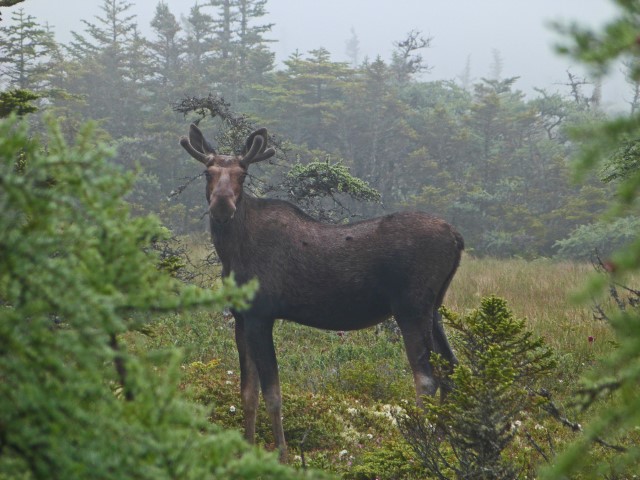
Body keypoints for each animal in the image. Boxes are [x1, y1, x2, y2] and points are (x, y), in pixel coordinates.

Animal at [180, 124, 464, 462]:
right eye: (207, 172)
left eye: (243, 174)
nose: (222, 204)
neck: (231, 254)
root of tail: (457, 237)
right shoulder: (241, 317)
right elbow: (247, 392)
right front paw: (245, 451)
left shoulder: (262, 315)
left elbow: (273, 393)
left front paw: (283, 456)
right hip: (435, 307)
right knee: (451, 367)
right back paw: (448, 445)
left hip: (411, 307)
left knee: (426, 378)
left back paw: (421, 452)